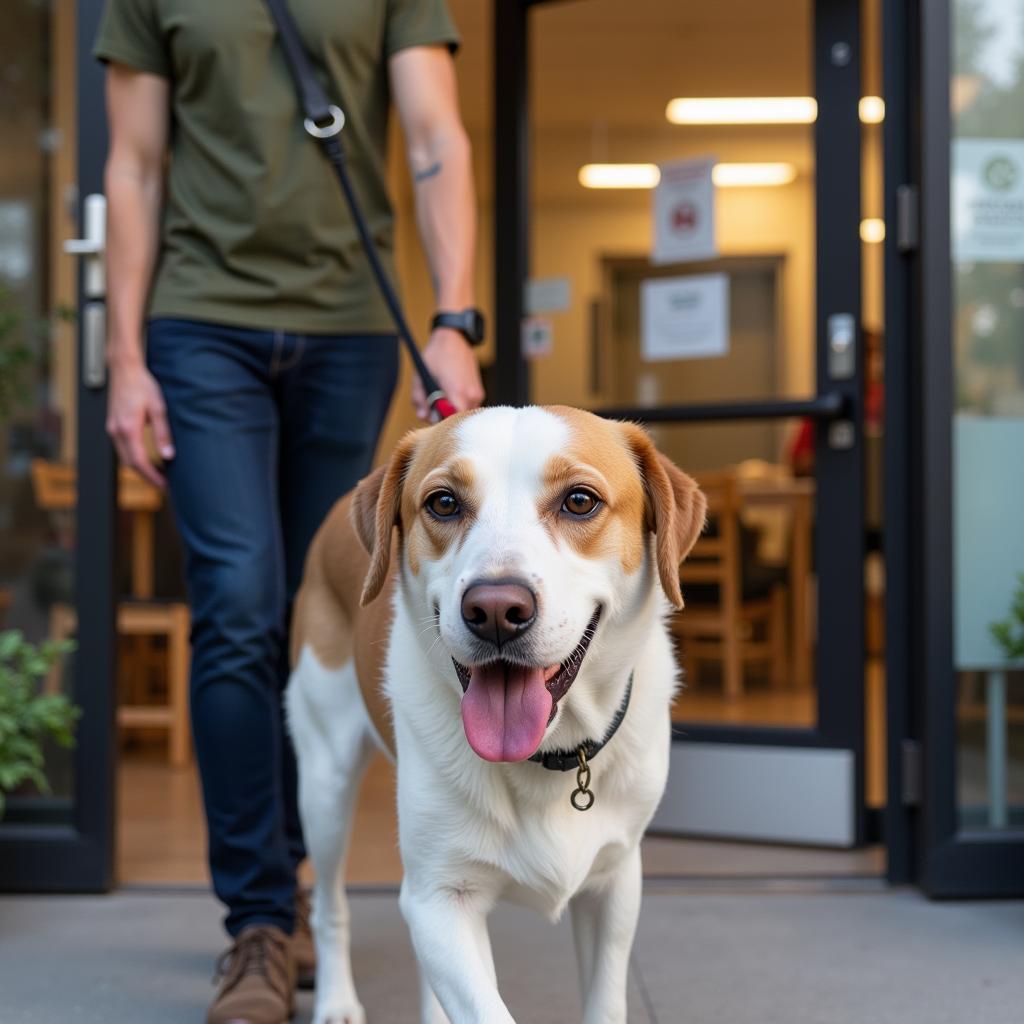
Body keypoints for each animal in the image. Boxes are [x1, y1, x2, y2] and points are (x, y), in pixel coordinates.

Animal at [286, 407, 704, 1024]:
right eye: (443, 503)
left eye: (580, 501)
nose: (497, 610)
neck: (550, 756)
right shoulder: (438, 898)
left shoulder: (615, 882)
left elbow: (605, 1001)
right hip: (325, 785)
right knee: (328, 905)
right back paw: (336, 1001)